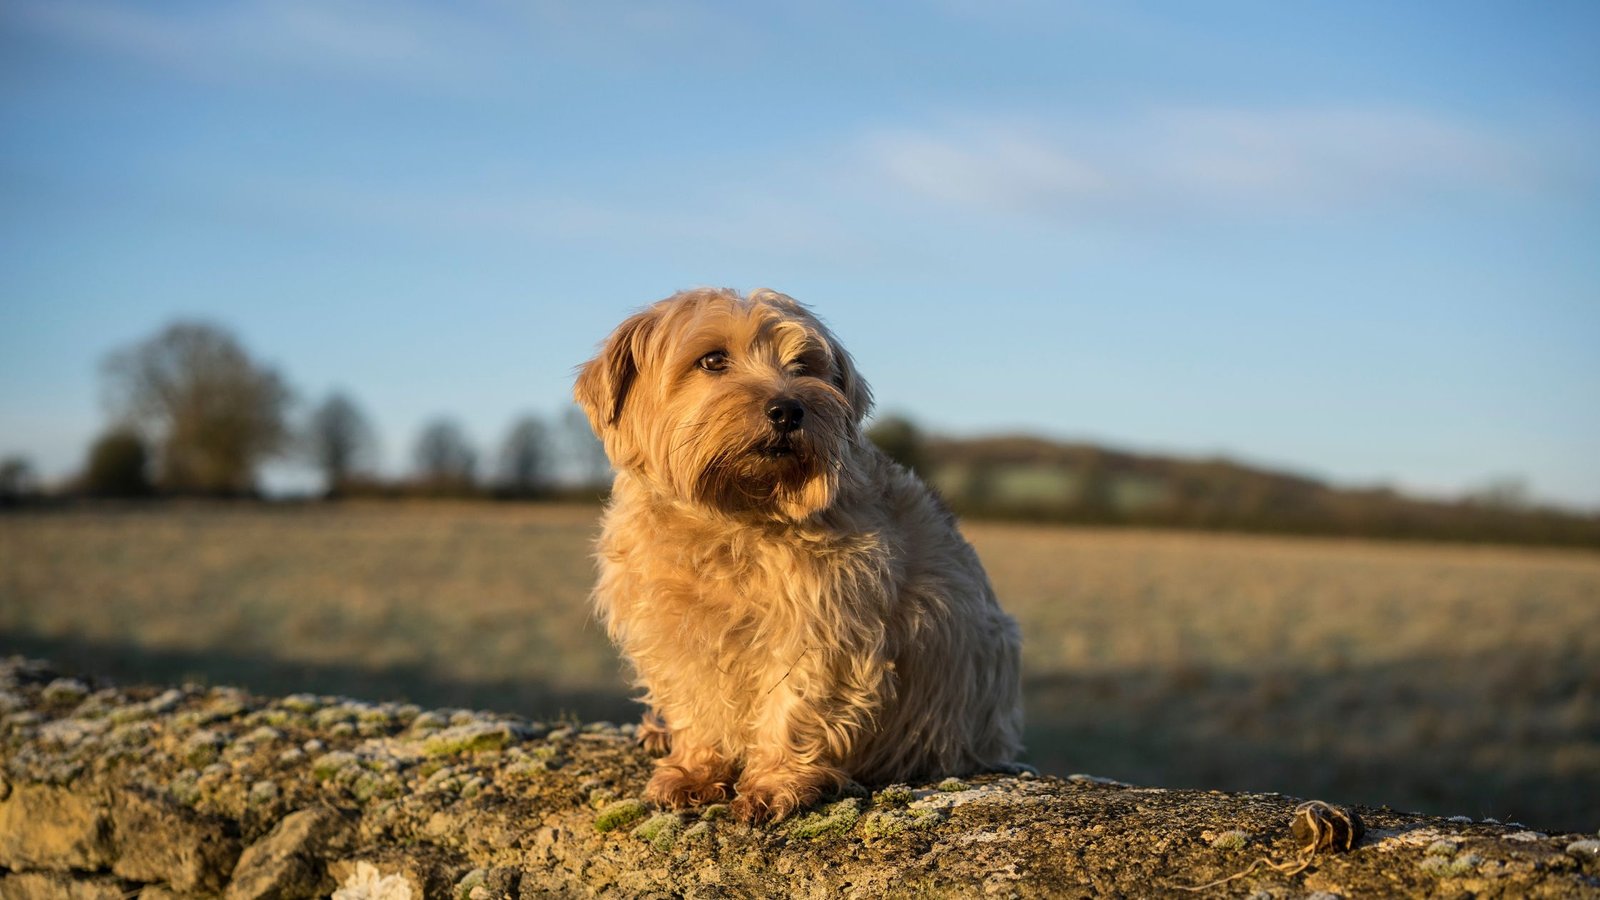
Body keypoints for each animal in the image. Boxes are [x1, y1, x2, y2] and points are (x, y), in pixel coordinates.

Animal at [576, 286, 1024, 819]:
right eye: (712, 359)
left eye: (804, 365)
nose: (788, 409)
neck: (732, 518)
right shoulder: (672, 631)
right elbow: (696, 705)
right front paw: (694, 770)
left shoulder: (826, 626)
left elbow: (796, 701)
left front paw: (775, 783)